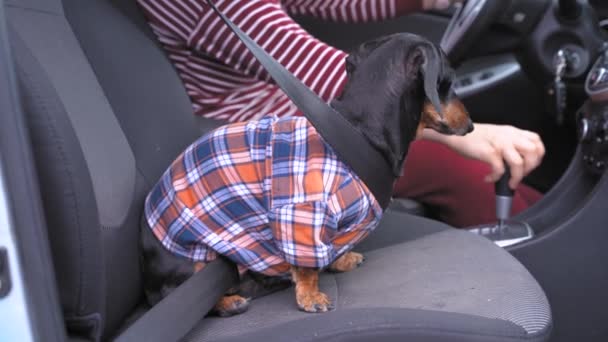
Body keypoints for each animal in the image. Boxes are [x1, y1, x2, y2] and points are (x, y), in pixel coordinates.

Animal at [141, 33, 476, 316]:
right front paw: (310, 295)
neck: (358, 132)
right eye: (448, 82)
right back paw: (230, 301)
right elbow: (306, 265)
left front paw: (341, 260)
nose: (472, 125)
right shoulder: (300, 213)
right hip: (194, 258)